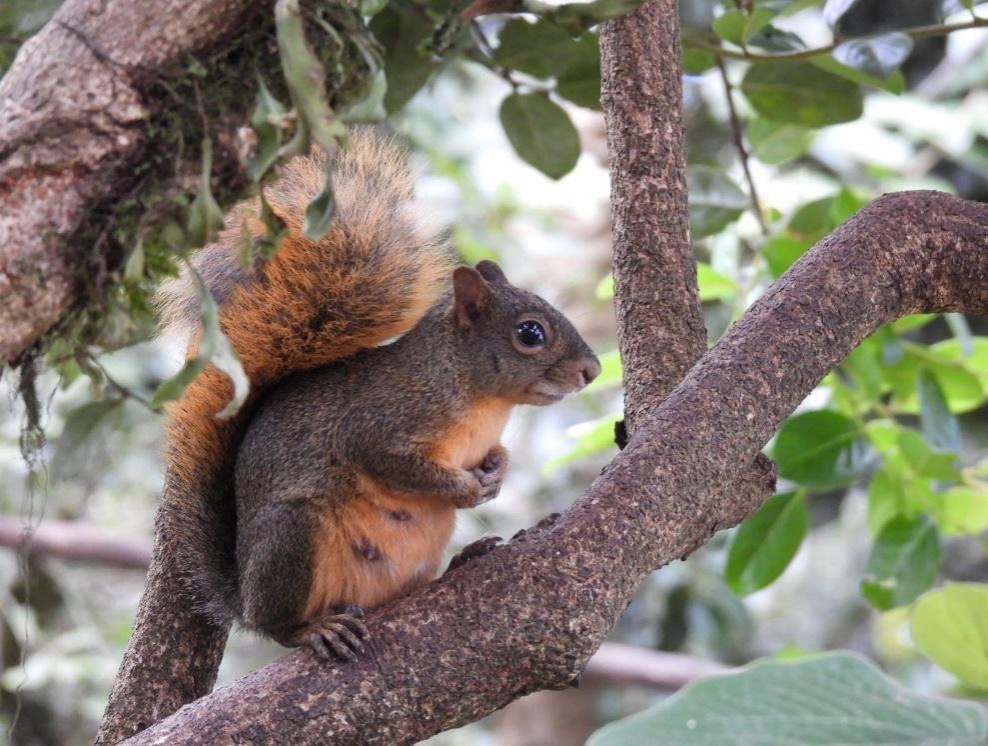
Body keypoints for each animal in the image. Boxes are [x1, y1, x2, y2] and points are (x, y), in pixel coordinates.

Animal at [155, 131, 604, 660]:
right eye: (530, 334)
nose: (593, 370)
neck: (482, 399)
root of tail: (243, 595)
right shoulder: (381, 422)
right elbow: (385, 459)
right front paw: (465, 489)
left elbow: (497, 455)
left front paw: (498, 471)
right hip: (292, 536)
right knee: (276, 625)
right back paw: (312, 629)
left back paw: (465, 559)